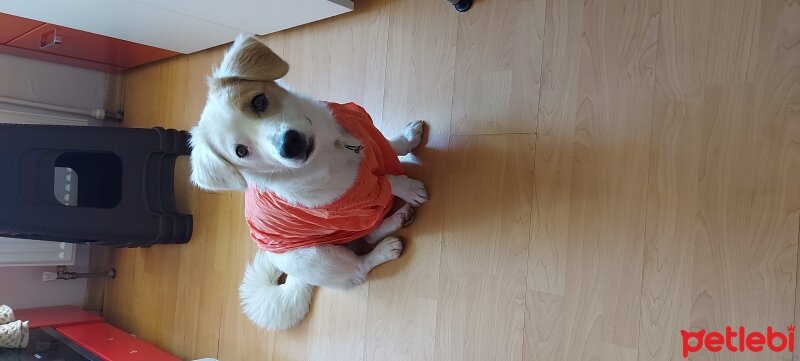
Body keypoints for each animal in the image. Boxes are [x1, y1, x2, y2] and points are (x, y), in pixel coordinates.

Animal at [188, 35, 428, 330]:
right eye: (241, 151)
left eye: (258, 101)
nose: (290, 145)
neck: (332, 148)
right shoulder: (356, 198)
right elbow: (389, 181)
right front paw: (410, 188)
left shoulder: (370, 140)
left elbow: (389, 145)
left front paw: (407, 139)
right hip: (317, 256)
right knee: (360, 266)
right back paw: (384, 250)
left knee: (369, 232)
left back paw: (396, 219)